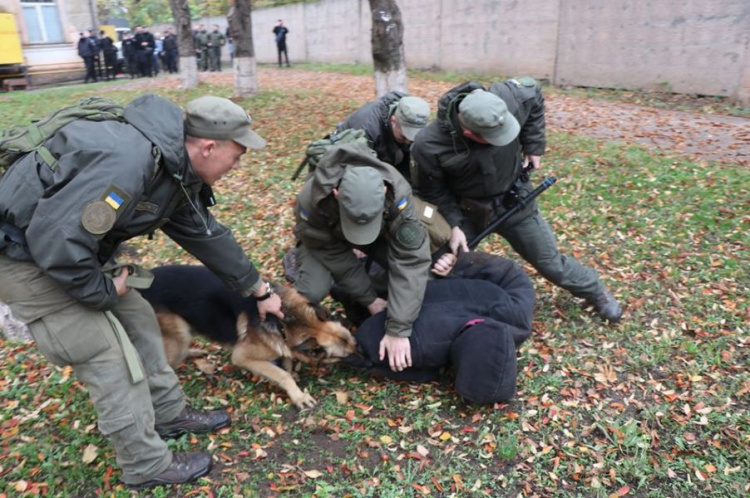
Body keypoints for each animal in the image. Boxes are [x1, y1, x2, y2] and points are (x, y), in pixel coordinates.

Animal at [141, 264, 358, 408]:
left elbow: (287, 358)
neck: (289, 320)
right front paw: (298, 395)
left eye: (354, 344)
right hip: (179, 335)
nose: (362, 352)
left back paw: (194, 353)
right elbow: (283, 374)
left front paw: (291, 368)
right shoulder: (243, 356)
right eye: (346, 356)